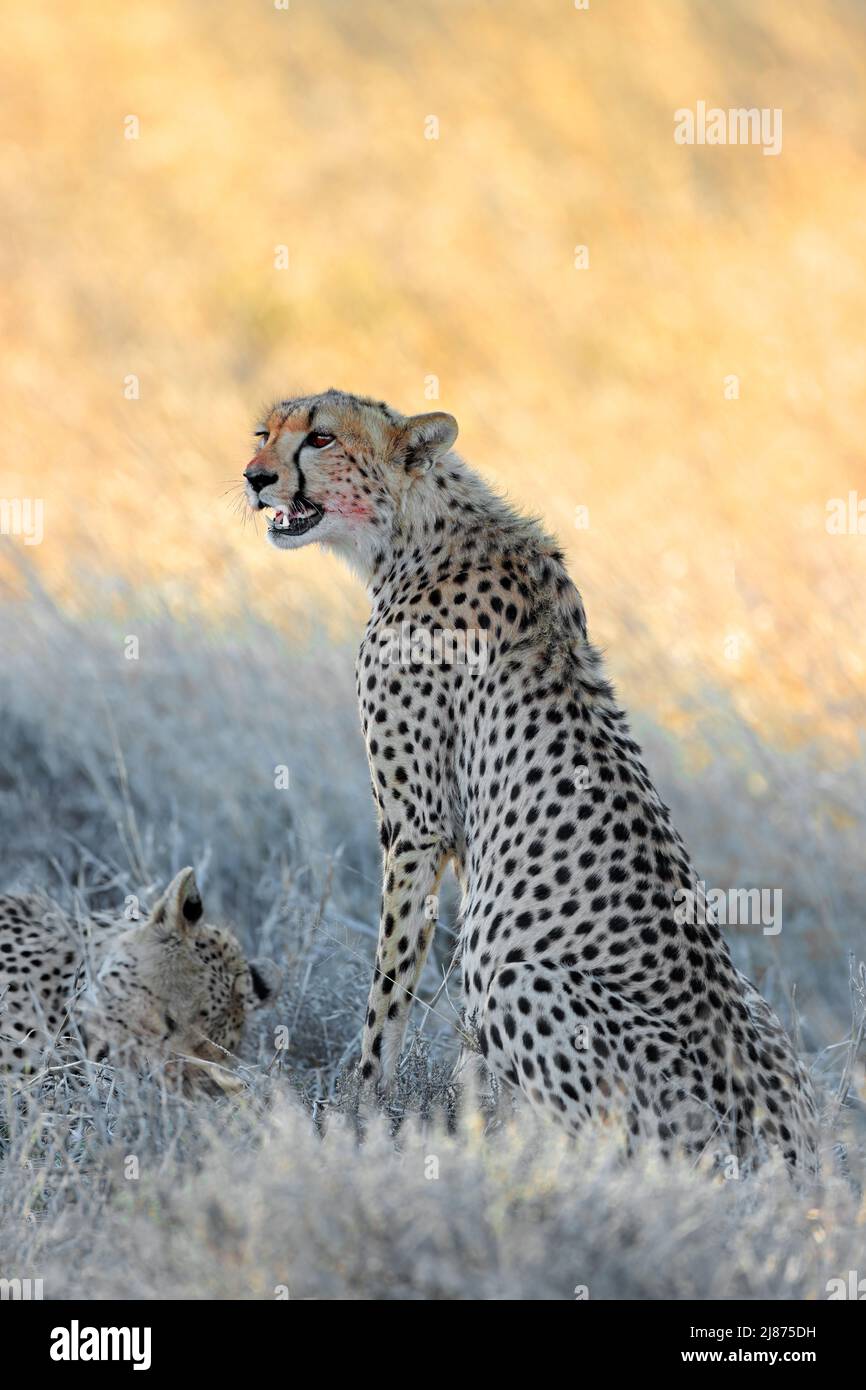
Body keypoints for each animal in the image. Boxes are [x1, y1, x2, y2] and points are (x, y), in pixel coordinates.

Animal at [241, 391, 817, 1173]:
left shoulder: (416, 827)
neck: (417, 528)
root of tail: (792, 1155)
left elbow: (388, 990)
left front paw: (362, 1111)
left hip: (528, 979)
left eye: (321, 438)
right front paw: (456, 1123)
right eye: (264, 432)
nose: (254, 478)